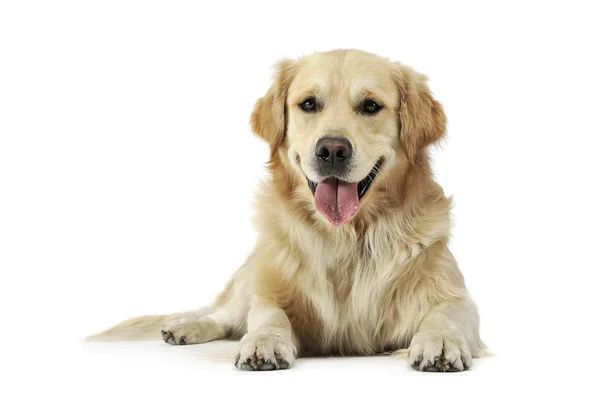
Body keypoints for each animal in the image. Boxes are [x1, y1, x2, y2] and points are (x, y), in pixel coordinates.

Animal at [86, 49, 486, 372]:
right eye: (308, 104)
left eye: (371, 105)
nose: (332, 150)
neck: (346, 239)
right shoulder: (271, 291)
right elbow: (267, 316)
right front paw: (264, 341)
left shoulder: (455, 296)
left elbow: (446, 315)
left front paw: (440, 342)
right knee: (223, 315)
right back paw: (185, 326)